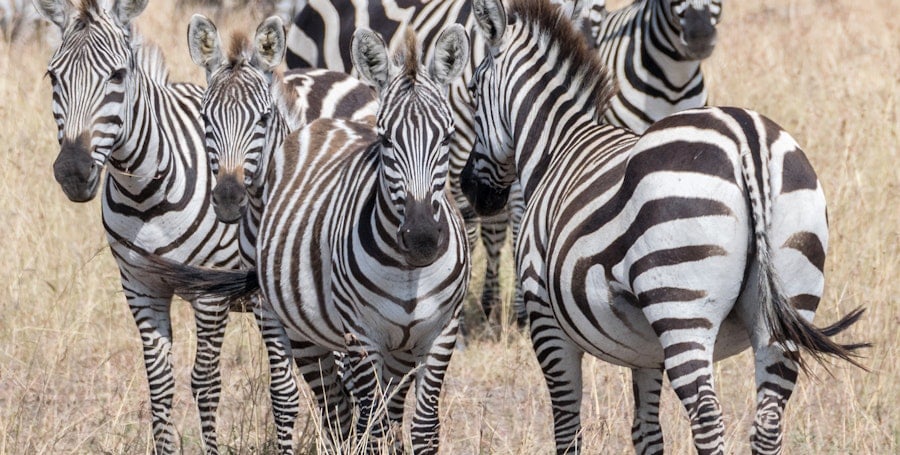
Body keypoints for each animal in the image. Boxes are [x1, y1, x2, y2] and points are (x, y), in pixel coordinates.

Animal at [34, 0, 304, 453]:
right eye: (54, 76)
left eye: (117, 75)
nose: (73, 172)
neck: (145, 193)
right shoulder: (140, 287)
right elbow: (160, 386)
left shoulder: (210, 293)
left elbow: (206, 384)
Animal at [462, 0, 868, 453]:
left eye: (473, 91)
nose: (471, 190)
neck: (559, 146)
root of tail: (747, 140)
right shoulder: (646, 349)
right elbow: (646, 431)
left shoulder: (545, 320)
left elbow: (567, 429)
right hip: (787, 305)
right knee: (767, 422)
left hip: (681, 305)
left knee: (708, 417)